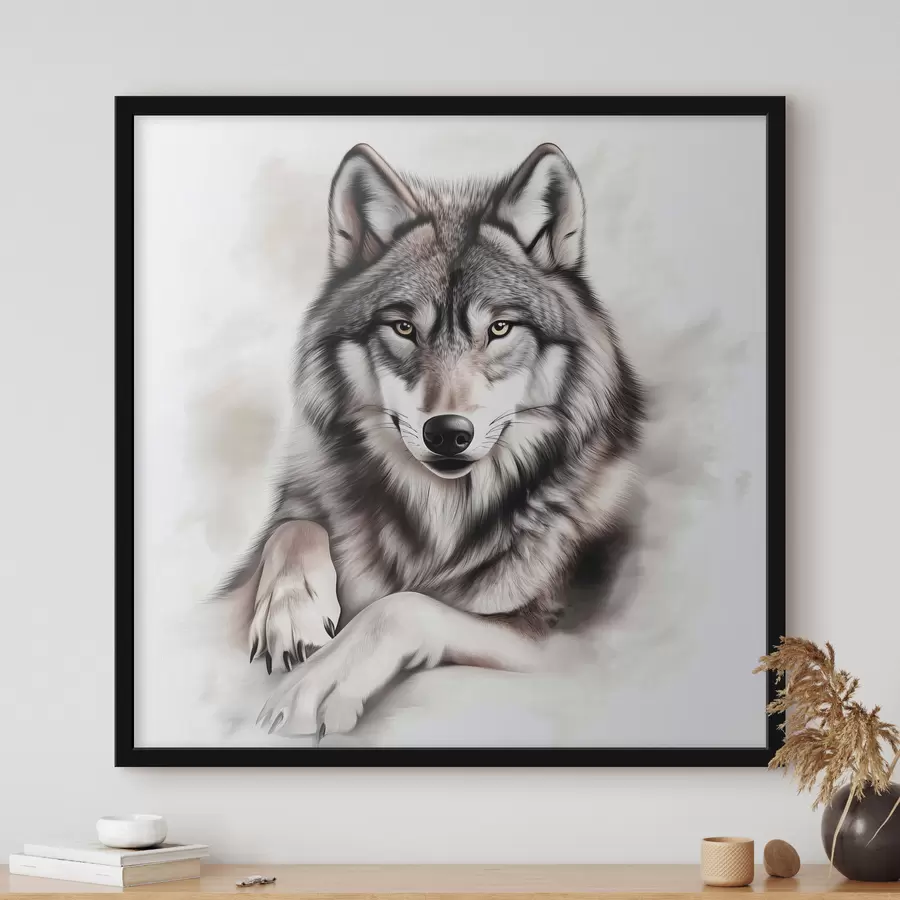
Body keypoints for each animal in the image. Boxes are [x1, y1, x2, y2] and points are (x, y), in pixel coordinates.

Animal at [220, 142, 644, 737]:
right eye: (403, 328)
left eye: (499, 329)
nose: (447, 433)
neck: (441, 515)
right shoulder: (302, 498)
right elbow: (295, 526)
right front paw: (291, 614)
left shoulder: (558, 639)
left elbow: (403, 605)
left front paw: (318, 684)